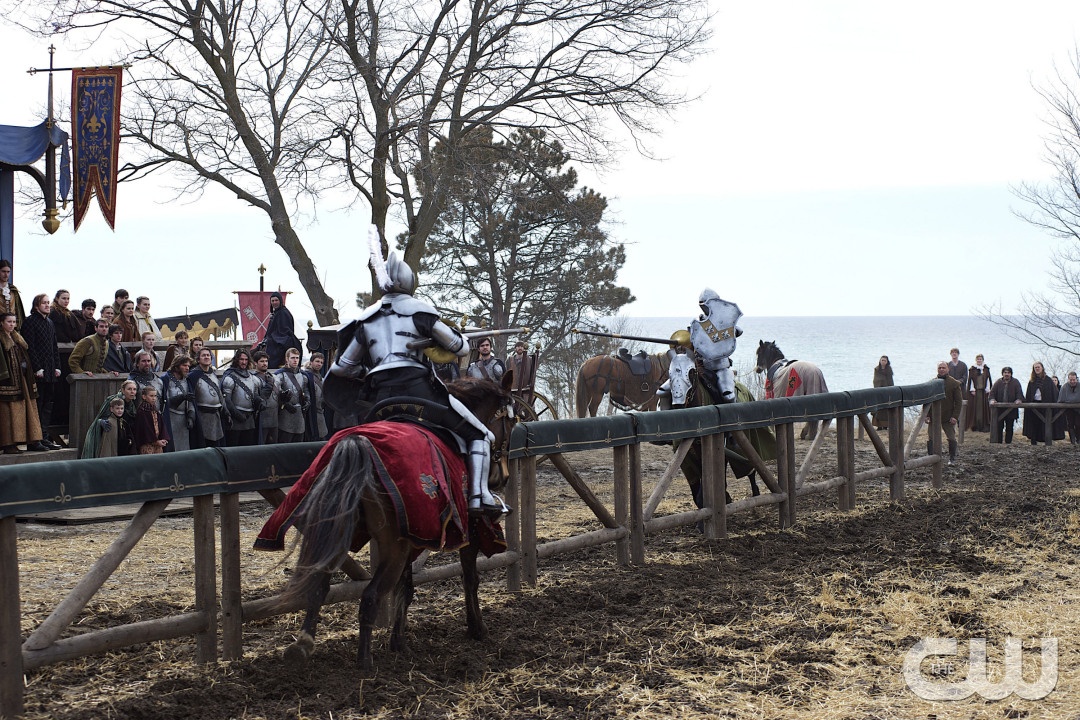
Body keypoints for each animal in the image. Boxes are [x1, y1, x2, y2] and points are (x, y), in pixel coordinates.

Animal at [267, 373, 516, 669]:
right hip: (392, 548)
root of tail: (358, 445)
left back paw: (303, 645)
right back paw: (364, 661)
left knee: (319, 585)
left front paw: (399, 642)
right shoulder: (467, 530)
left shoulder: (412, 539)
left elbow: (405, 589)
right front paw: (476, 628)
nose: (502, 478)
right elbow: (470, 578)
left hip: (340, 535)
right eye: (511, 422)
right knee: (370, 595)